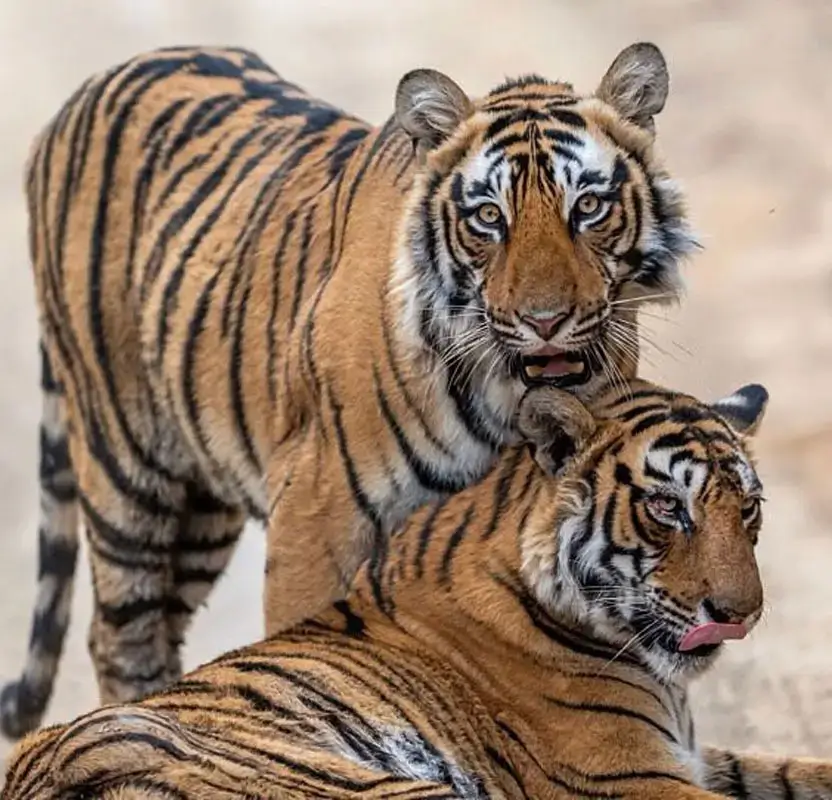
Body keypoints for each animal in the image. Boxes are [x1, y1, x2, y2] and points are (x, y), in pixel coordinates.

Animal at [0, 41, 697, 740]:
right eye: (488, 217)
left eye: (589, 208)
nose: (544, 320)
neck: (507, 397)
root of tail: (95, 84)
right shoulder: (318, 510)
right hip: (127, 471)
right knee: (120, 634)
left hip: (200, 510)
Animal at [7, 377, 832, 800]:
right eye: (667, 508)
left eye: (747, 508)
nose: (740, 613)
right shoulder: (631, 774)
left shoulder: (689, 753)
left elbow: (798, 772)